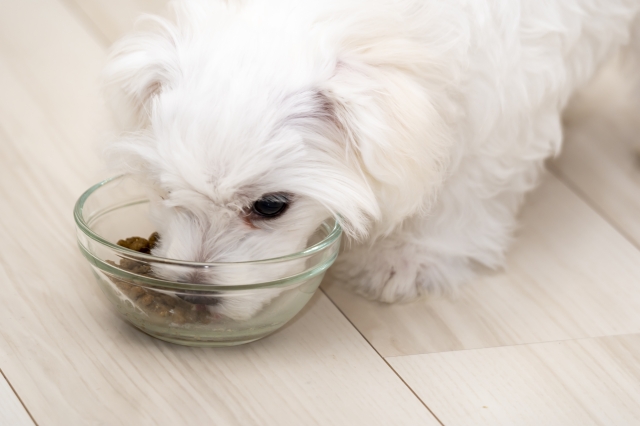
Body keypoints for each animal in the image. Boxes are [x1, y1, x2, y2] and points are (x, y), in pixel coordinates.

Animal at [102, 0, 640, 320]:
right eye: (163, 188)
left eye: (272, 205)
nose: (194, 298)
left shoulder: (502, 108)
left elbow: (466, 188)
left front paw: (411, 258)